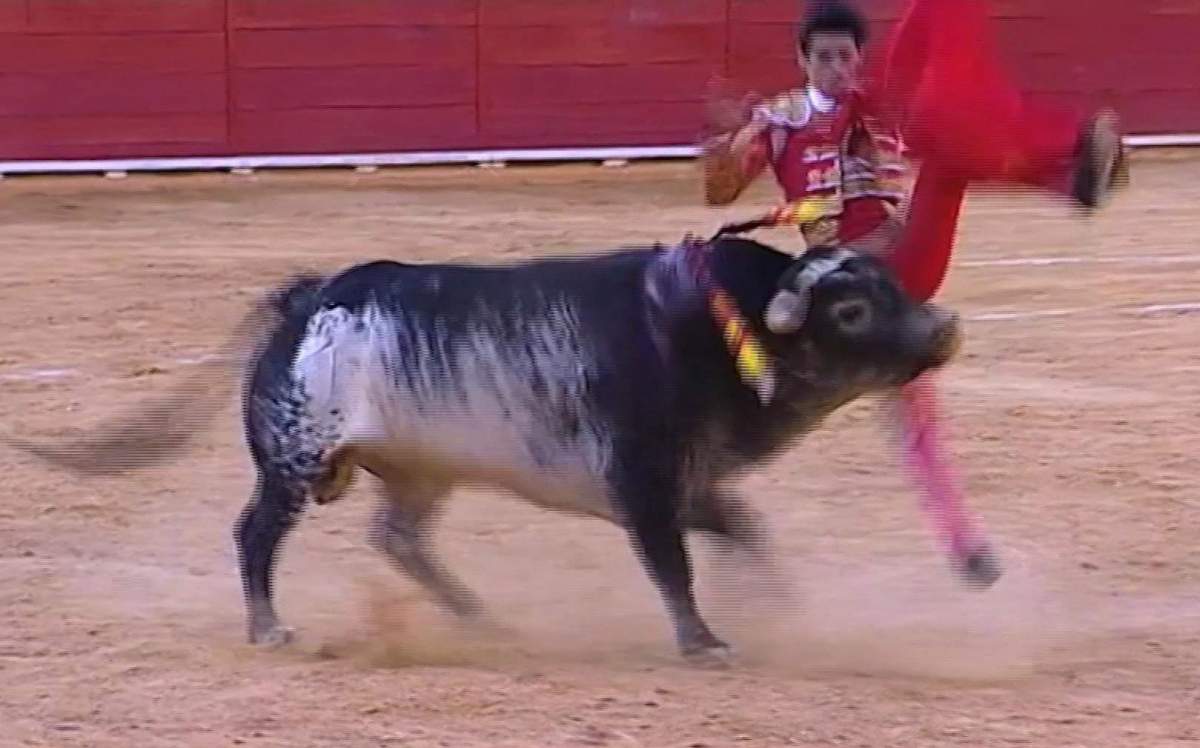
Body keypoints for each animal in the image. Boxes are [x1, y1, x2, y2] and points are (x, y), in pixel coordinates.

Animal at [5, 230, 999, 665]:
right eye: (853, 308)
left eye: (887, 282)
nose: (946, 327)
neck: (716, 326)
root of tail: (311, 295)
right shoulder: (643, 481)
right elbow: (672, 567)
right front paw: (705, 641)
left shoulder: (691, 479)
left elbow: (744, 534)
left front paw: (776, 608)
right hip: (292, 463)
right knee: (256, 536)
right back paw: (269, 627)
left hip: (418, 470)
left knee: (399, 538)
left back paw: (480, 618)